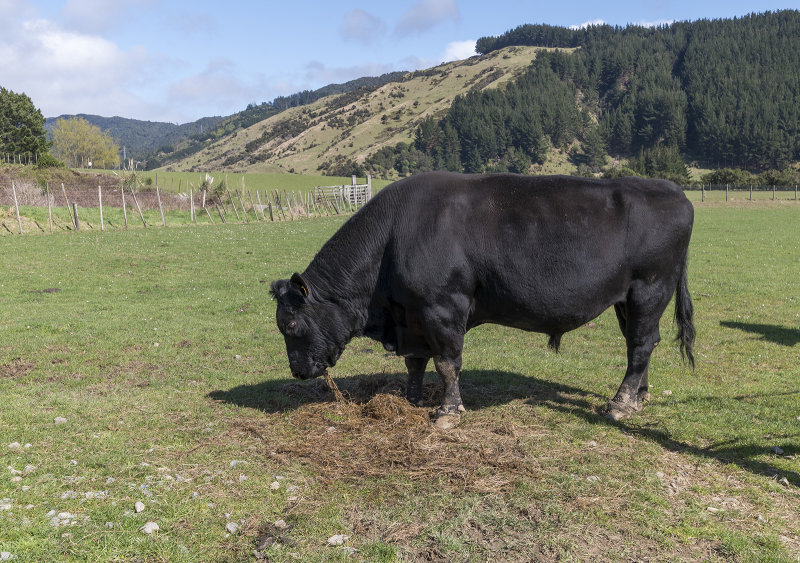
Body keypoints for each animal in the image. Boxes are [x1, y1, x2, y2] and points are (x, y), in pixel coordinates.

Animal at [270, 172, 692, 428]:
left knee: (640, 344)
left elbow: (447, 364)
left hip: (649, 289)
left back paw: (621, 404)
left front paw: (447, 413)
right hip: (628, 300)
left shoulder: (442, 308)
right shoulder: (413, 316)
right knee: (644, 343)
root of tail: (672, 191)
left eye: (290, 324)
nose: (297, 371)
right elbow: (415, 361)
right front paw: (411, 400)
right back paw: (639, 396)